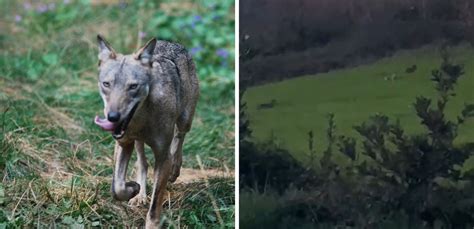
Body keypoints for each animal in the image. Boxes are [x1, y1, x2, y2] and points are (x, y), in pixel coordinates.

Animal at [93, 35, 199, 228]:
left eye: (133, 86)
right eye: (106, 84)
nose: (113, 117)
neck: (141, 120)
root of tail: (169, 42)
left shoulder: (162, 157)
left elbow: (155, 204)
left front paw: (152, 224)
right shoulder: (123, 144)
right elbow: (117, 188)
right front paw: (133, 188)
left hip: (185, 120)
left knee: (179, 138)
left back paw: (175, 168)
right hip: (138, 143)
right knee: (142, 163)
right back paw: (140, 195)